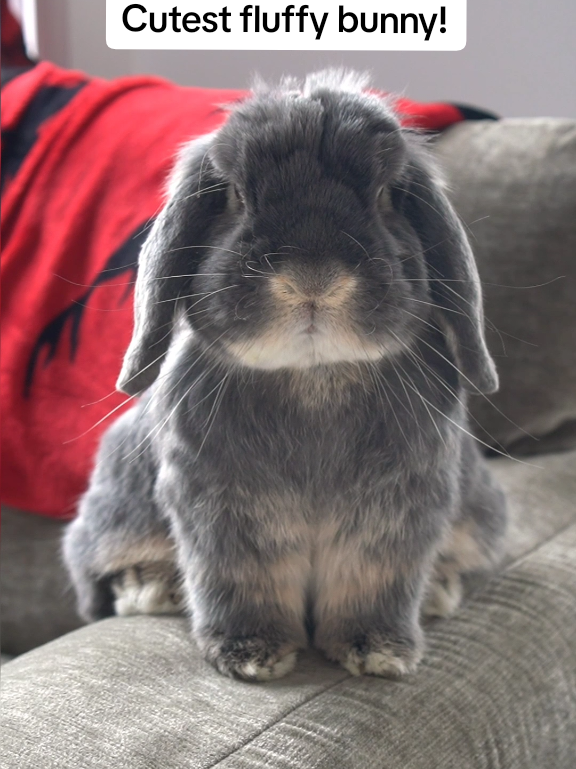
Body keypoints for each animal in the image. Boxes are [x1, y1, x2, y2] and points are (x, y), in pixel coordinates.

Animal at [63, 70, 507, 681]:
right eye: (234, 195)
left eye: (387, 195)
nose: (312, 277)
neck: (312, 376)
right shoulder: (222, 518)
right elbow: (244, 585)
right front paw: (252, 654)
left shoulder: (395, 520)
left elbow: (373, 587)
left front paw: (378, 651)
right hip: (118, 510)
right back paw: (151, 589)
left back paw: (437, 591)